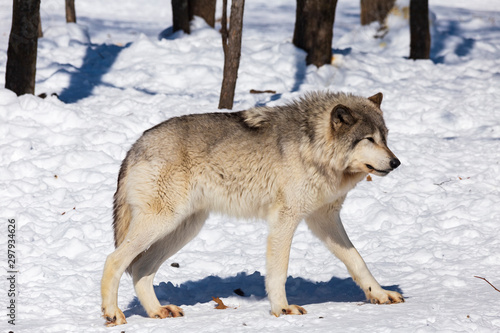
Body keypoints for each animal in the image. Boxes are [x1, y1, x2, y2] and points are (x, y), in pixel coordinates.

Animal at [100, 91, 402, 324]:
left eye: (385, 138)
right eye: (368, 139)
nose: (396, 162)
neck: (313, 147)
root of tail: (135, 145)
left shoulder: (324, 219)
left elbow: (357, 260)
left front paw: (380, 294)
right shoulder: (285, 219)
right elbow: (279, 271)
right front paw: (283, 308)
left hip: (183, 229)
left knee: (140, 268)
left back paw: (157, 311)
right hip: (163, 223)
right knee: (114, 259)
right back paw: (113, 313)